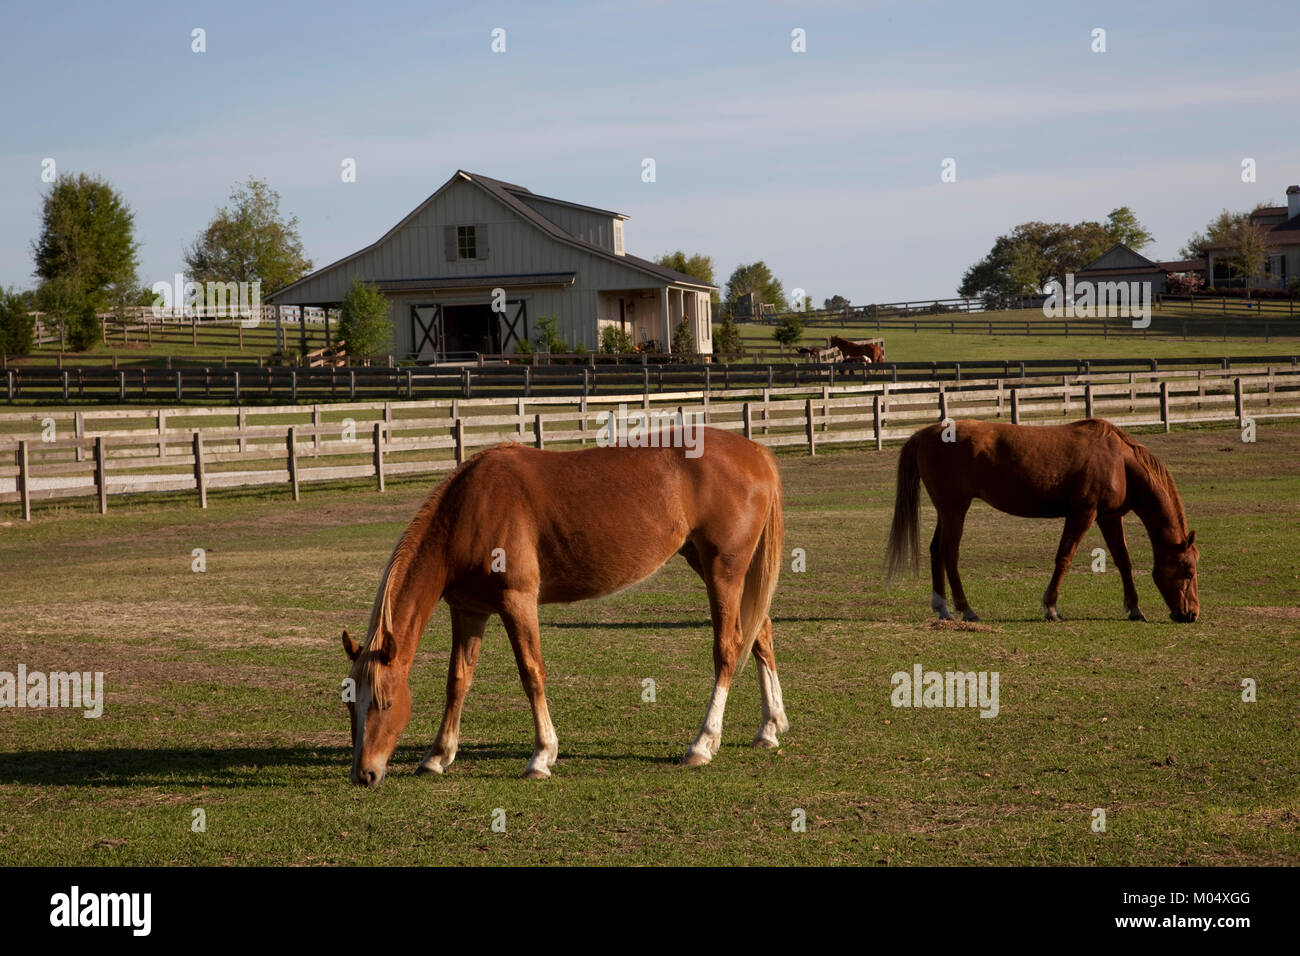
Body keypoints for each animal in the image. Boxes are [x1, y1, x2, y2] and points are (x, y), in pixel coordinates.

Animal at [340, 426, 780, 785]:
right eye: (349, 704)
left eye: (386, 702)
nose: (365, 774)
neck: (470, 509)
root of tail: (756, 453)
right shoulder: (469, 610)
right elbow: (458, 680)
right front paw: (437, 756)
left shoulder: (517, 602)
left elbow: (532, 674)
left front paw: (541, 756)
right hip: (712, 567)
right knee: (761, 633)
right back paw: (769, 728)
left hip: (723, 572)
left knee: (728, 649)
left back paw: (703, 744)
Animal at [883, 416, 1196, 624]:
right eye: (1189, 571)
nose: (1191, 614)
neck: (1120, 461)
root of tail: (928, 432)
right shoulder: (1083, 513)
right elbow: (1064, 558)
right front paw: (1051, 607)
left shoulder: (1108, 517)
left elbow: (1123, 561)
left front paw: (1134, 608)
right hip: (955, 509)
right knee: (949, 552)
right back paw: (966, 608)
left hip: (947, 510)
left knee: (937, 550)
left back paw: (943, 607)